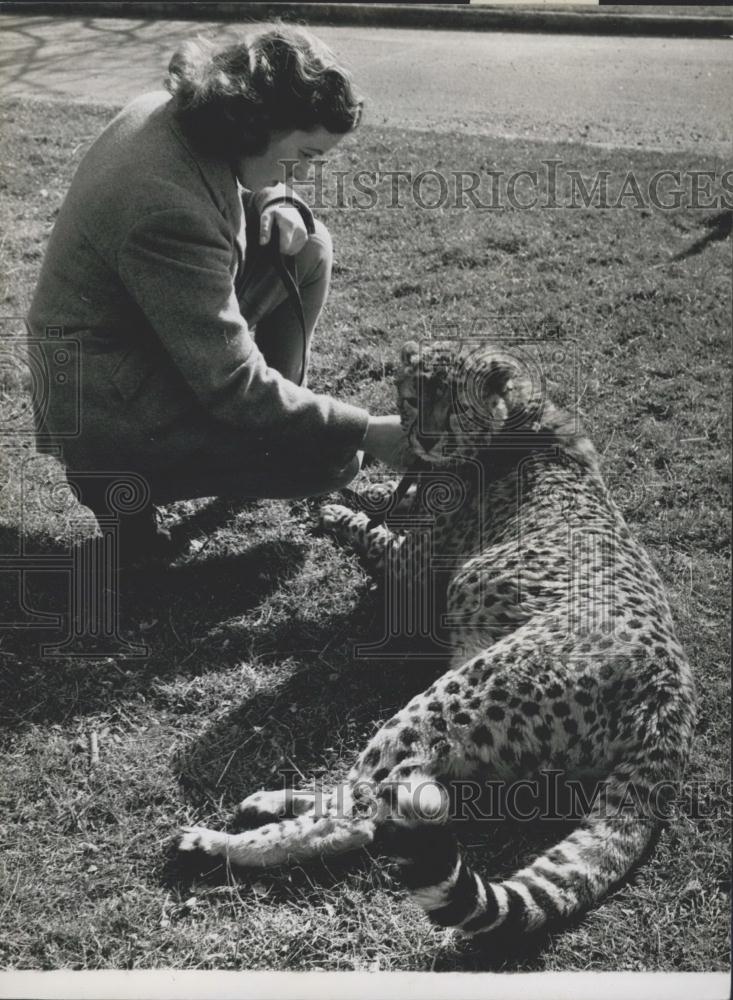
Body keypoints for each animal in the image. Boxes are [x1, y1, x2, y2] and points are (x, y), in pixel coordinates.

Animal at [180, 340, 696, 940]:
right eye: (412, 398)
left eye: (452, 406)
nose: (424, 439)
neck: (516, 418)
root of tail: (671, 695)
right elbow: (387, 499)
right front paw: (357, 491)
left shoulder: (411, 570)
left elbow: (375, 530)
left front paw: (340, 509)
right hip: (489, 749)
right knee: (392, 797)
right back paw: (270, 800)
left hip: (455, 697)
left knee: (360, 817)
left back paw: (215, 843)